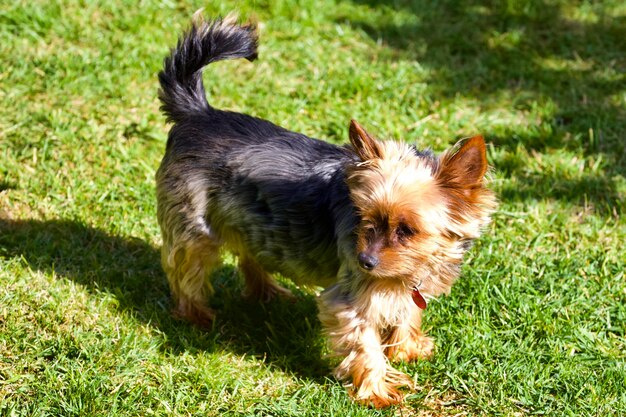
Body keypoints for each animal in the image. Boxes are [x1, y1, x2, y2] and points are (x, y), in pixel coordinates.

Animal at [155, 15, 492, 406]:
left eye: (408, 230)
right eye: (364, 218)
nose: (365, 261)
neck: (412, 268)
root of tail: (199, 114)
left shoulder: (404, 285)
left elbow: (406, 311)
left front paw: (408, 347)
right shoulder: (351, 299)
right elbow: (365, 344)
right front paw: (378, 391)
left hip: (249, 219)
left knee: (247, 252)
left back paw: (266, 292)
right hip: (196, 227)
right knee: (185, 270)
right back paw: (196, 314)